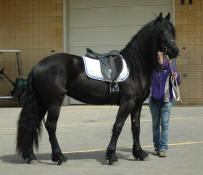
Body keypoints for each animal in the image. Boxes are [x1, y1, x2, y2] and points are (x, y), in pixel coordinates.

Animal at [17, 12, 179, 165]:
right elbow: (118, 126)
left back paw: (31, 156)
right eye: (162, 31)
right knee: (51, 126)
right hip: (54, 102)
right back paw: (60, 157)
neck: (135, 65)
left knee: (33, 123)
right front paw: (112, 156)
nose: (175, 51)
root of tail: (37, 66)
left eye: (172, 31)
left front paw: (139, 153)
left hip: (42, 102)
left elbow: (136, 127)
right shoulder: (127, 102)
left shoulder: (137, 104)